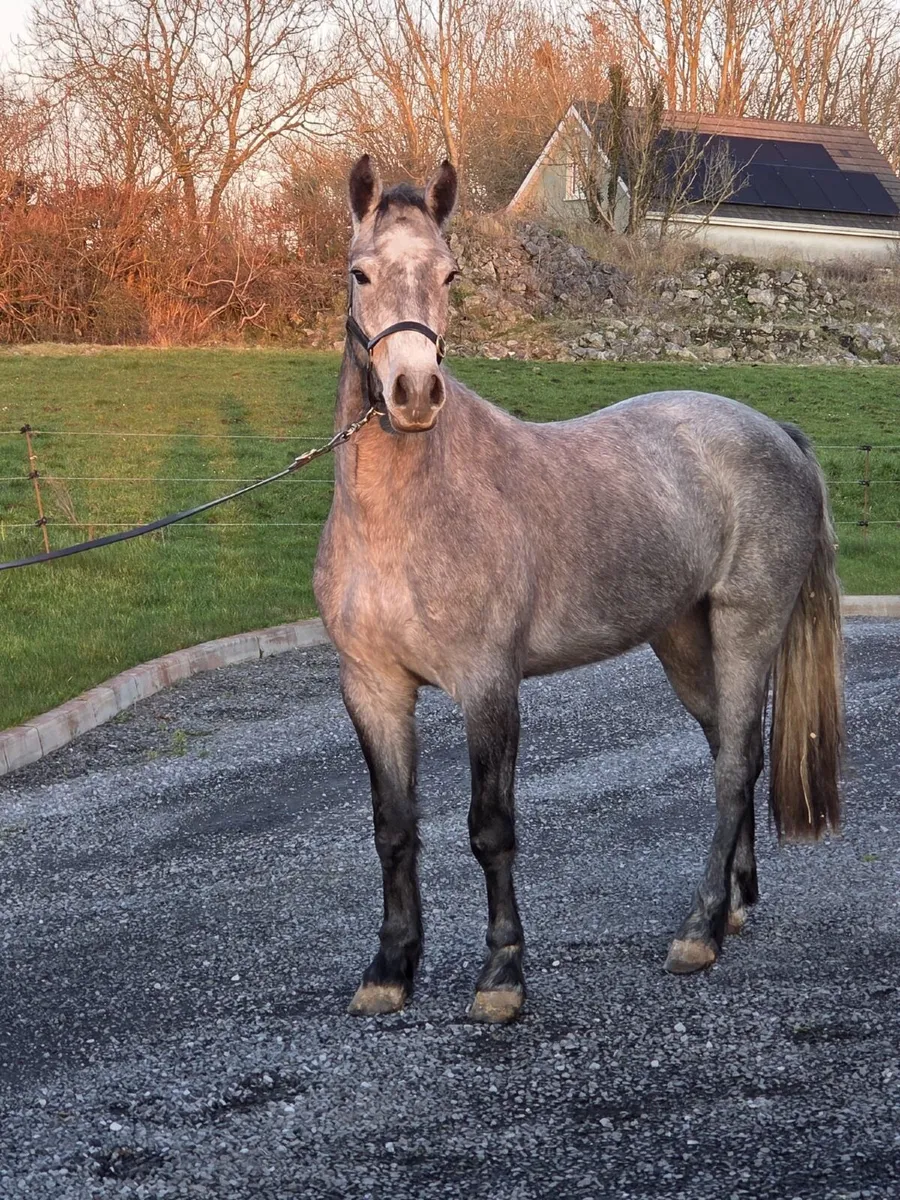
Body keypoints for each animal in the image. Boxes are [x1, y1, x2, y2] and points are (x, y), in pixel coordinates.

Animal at [313, 155, 843, 1024]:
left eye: (450, 273)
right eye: (360, 273)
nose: (414, 393)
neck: (404, 515)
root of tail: (776, 434)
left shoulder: (489, 686)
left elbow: (490, 828)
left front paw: (502, 975)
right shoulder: (373, 688)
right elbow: (393, 827)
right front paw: (390, 968)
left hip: (747, 629)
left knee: (735, 766)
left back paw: (700, 932)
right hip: (684, 642)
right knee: (731, 753)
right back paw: (735, 903)